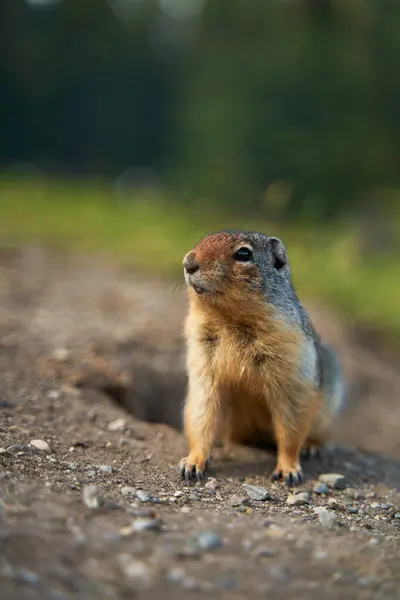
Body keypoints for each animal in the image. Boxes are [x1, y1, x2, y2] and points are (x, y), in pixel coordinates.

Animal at [178, 227, 344, 486]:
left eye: (243, 253)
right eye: (202, 239)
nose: (188, 262)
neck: (228, 318)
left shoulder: (290, 360)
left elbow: (291, 424)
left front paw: (288, 470)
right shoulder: (202, 357)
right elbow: (202, 409)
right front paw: (192, 463)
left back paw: (312, 446)